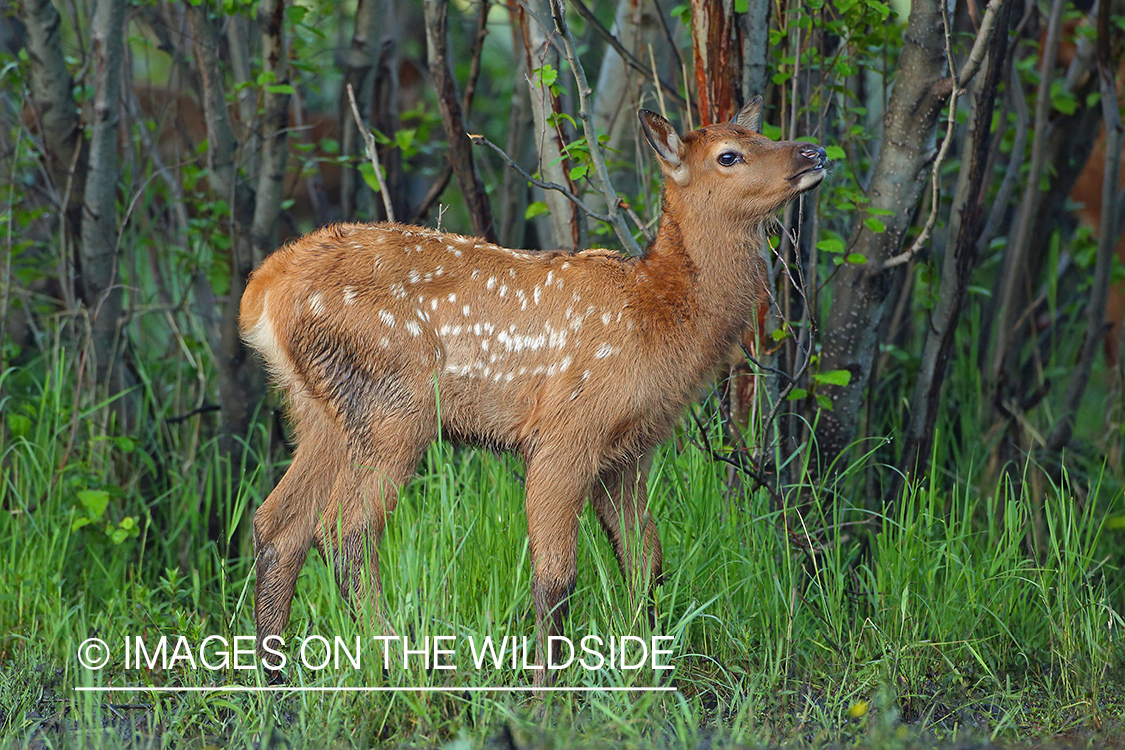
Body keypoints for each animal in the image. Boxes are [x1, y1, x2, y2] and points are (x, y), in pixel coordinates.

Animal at [239, 97, 829, 683]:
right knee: (344, 528)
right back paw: (402, 662)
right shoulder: (566, 429)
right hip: (393, 403)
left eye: (762, 134)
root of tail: (263, 288)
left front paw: (645, 670)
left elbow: (646, 562)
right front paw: (546, 687)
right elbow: (557, 578)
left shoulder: (629, 453)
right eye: (729, 155)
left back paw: (274, 677)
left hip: (319, 409)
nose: (814, 152)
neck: (661, 317)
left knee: (278, 525)